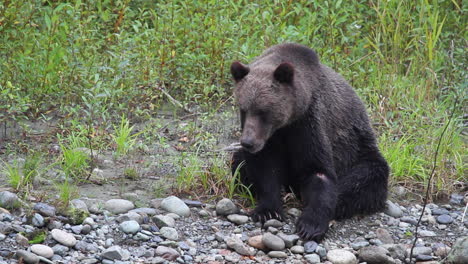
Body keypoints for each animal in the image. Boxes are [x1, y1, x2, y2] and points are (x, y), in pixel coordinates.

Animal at [230, 42, 388, 241]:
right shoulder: (272, 138)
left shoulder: (308, 123)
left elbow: (317, 170)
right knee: (238, 161)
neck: (287, 123)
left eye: (263, 111)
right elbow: (265, 169)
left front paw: (310, 224)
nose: (248, 142)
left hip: (360, 150)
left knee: (364, 179)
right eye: (243, 109)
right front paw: (268, 210)